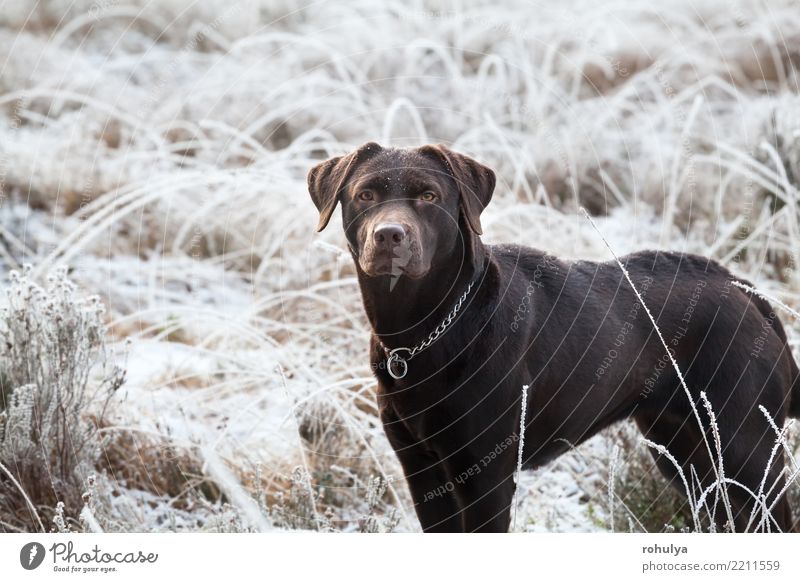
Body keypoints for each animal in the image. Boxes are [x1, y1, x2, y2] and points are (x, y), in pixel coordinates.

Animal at [308, 143, 800, 532]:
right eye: (366, 194)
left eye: (429, 196)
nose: (390, 235)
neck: (423, 330)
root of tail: (745, 290)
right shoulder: (422, 472)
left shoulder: (486, 477)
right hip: (687, 451)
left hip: (748, 450)